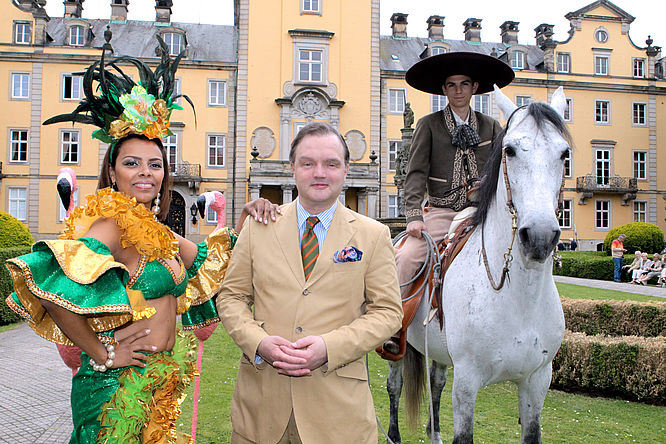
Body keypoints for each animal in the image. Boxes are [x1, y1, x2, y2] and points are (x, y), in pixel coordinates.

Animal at [386, 86, 568, 444]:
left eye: (564, 154)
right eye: (510, 150)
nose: (539, 237)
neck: (520, 298)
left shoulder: (537, 382)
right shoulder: (467, 383)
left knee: (436, 382)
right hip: (396, 346)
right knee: (395, 385)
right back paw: (393, 434)